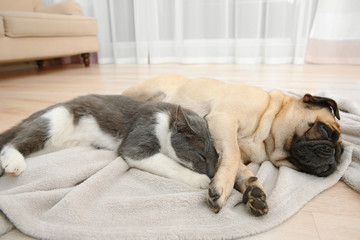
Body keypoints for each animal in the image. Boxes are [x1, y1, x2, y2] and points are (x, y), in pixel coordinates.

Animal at [0, 94, 218, 188]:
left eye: (216, 158)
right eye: (202, 156)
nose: (212, 173)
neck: (167, 120)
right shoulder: (139, 136)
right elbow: (168, 164)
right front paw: (200, 180)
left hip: (54, 145)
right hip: (54, 122)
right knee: (12, 143)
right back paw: (14, 163)